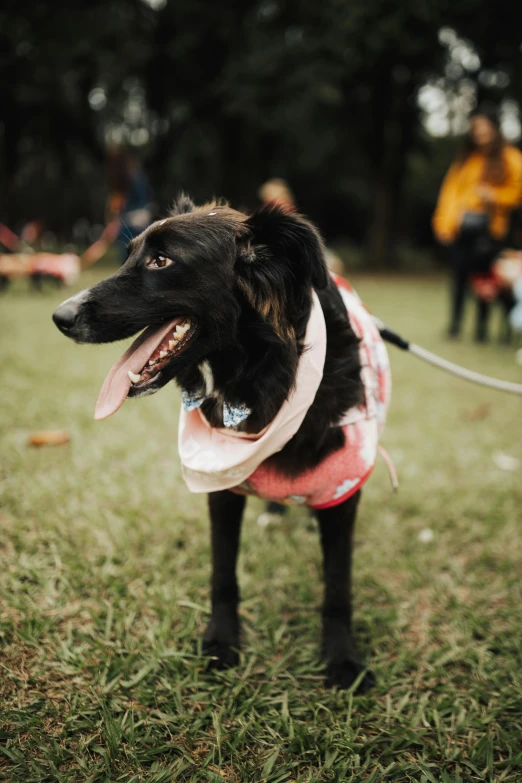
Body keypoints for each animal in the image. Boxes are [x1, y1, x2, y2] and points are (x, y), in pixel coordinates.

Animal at [52, 198, 372, 692]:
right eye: (129, 254)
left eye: (162, 261)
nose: (60, 316)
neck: (260, 376)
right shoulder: (220, 480)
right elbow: (223, 573)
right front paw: (222, 640)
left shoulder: (343, 485)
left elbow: (338, 586)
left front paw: (342, 659)